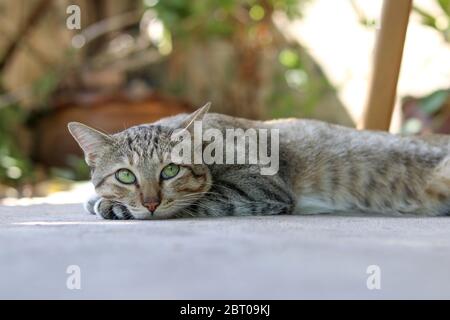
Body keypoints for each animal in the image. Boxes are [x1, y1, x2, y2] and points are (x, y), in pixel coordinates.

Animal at [67, 103, 450, 220]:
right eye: (125, 175)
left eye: (170, 170)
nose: (149, 202)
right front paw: (98, 199)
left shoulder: (260, 186)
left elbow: (201, 200)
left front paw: (111, 206)